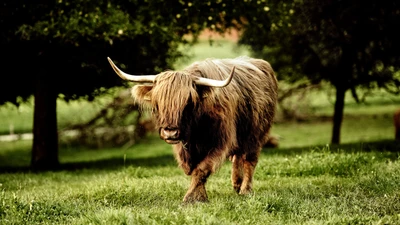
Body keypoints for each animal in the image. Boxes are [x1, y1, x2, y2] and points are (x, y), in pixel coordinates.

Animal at [108, 55, 278, 202]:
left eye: (188, 103)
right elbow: (190, 169)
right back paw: (236, 184)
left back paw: (245, 190)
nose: (170, 132)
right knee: (237, 157)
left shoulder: (221, 142)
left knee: (249, 159)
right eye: (157, 104)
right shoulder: (182, 148)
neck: (196, 128)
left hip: (256, 134)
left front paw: (192, 198)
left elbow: (202, 169)